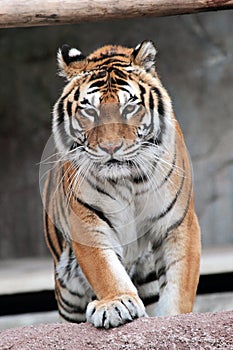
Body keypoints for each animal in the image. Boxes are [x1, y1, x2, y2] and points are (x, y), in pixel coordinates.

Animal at [42, 40, 201, 328]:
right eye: (89, 110)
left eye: (129, 108)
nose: (110, 147)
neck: (129, 180)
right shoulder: (87, 220)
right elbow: (105, 268)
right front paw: (117, 303)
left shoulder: (178, 224)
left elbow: (179, 283)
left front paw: (174, 318)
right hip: (68, 292)